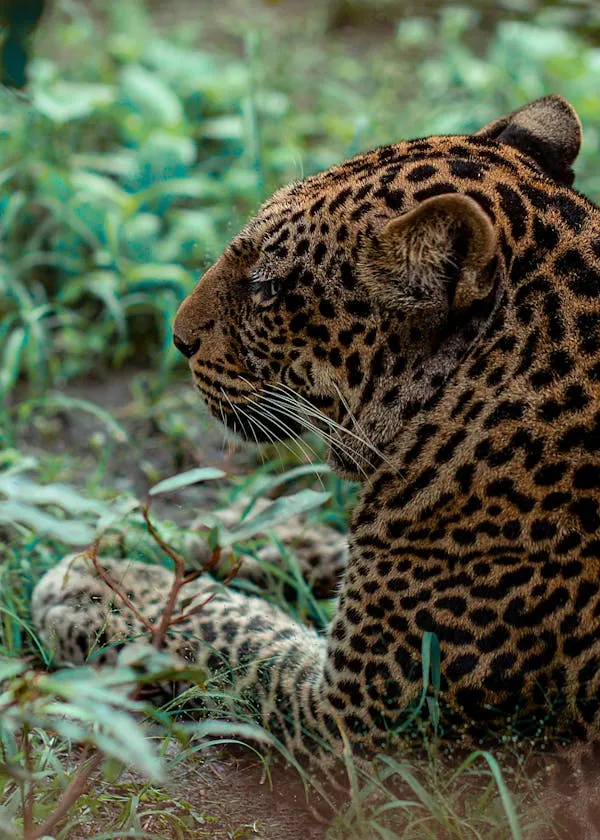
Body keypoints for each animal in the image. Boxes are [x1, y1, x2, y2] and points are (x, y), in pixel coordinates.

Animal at [32, 95, 600, 836]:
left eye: (269, 289)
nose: (176, 339)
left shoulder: (363, 731)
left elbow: (236, 639)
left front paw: (97, 587)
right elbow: (303, 560)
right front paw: (168, 535)